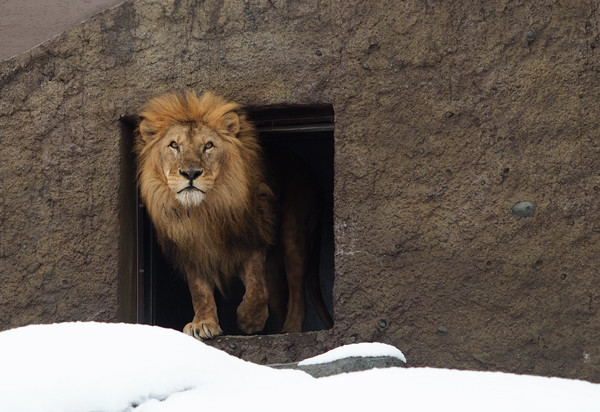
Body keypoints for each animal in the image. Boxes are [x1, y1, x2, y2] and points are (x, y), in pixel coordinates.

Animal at [135, 91, 332, 340]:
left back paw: (290, 331)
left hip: (294, 235)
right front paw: (203, 323)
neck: (204, 211)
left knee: (297, 294)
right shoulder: (191, 249)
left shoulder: (253, 237)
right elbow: (199, 291)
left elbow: (256, 288)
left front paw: (250, 321)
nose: (190, 173)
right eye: (174, 145)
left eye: (208, 146)